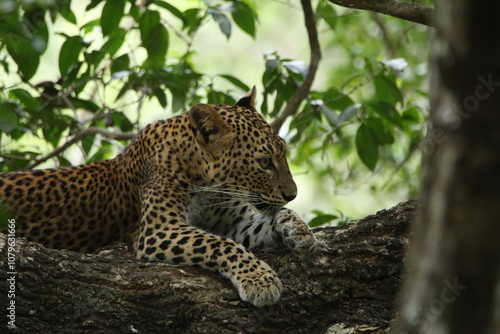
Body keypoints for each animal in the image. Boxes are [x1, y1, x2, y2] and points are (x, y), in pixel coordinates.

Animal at [0, 87, 316, 306]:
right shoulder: (157, 231)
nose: (292, 194)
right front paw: (260, 280)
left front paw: (299, 231)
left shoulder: (229, 222)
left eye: (283, 154)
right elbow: (221, 245)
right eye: (264, 162)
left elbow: (259, 225)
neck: (209, 186)